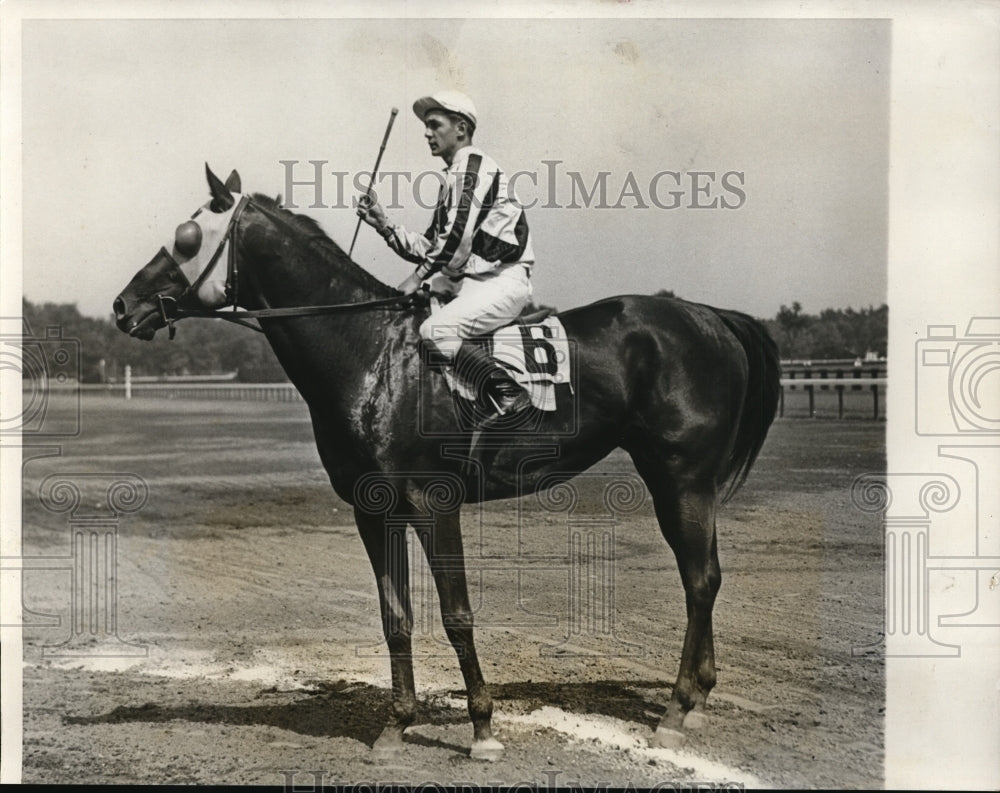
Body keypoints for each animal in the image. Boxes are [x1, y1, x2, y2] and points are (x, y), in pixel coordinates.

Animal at [111, 164, 780, 756]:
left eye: (187, 236)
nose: (122, 306)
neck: (374, 356)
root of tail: (708, 315)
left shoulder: (434, 503)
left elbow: (457, 614)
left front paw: (482, 728)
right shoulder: (373, 511)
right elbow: (396, 616)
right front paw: (396, 725)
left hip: (681, 475)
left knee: (700, 579)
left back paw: (675, 712)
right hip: (681, 479)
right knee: (705, 575)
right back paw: (697, 700)